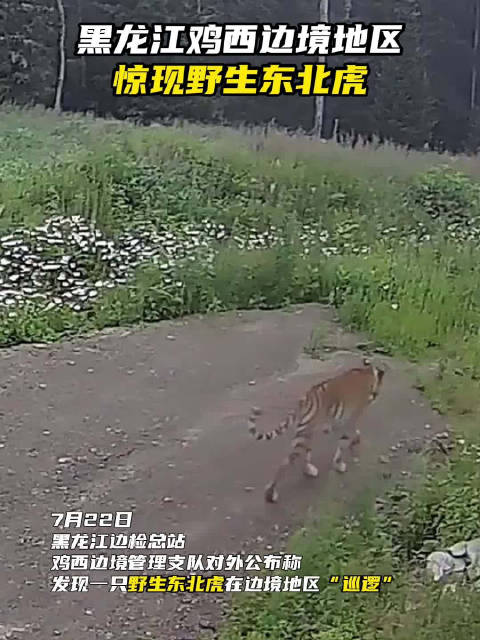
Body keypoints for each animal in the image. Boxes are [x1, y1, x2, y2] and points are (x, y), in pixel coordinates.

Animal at [247, 357, 385, 503]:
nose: (375, 397)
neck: (367, 374)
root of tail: (305, 398)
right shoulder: (351, 419)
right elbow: (344, 442)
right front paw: (340, 463)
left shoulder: (339, 421)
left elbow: (344, 438)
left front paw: (352, 442)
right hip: (303, 435)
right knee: (285, 463)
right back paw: (271, 493)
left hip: (307, 432)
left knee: (305, 453)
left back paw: (309, 470)